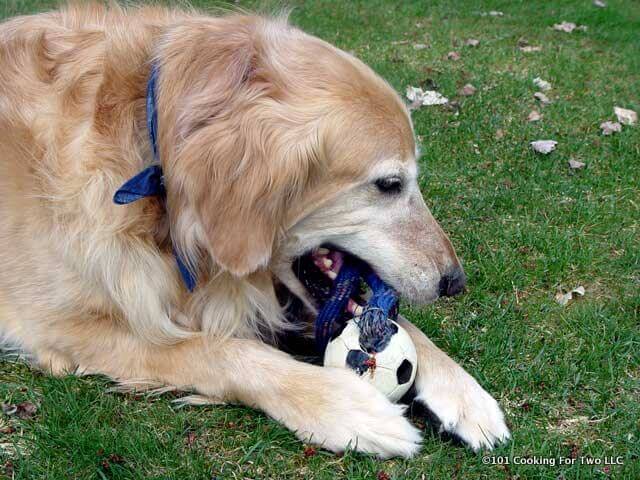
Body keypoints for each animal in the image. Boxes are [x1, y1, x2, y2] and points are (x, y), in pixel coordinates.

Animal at [0, 0, 510, 458]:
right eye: (389, 184)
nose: (455, 282)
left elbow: (391, 320)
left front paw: (464, 393)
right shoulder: (65, 326)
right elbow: (219, 351)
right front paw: (345, 406)